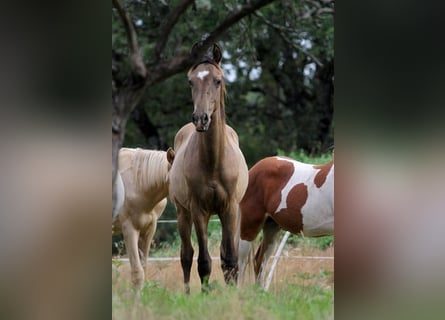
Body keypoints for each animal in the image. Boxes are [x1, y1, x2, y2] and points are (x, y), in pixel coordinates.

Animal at [168, 43, 248, 294]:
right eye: (190, 81)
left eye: (218, 80)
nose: (201, 119)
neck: (213, 162)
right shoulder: (198, 210)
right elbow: (203, 261)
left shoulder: (230, 208)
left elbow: (230, 258)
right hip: (182, 214)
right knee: (186, 255)